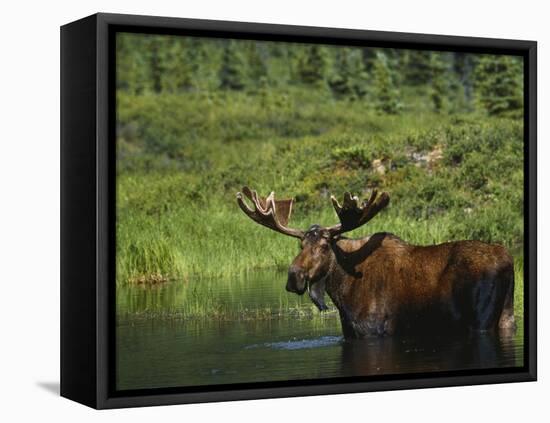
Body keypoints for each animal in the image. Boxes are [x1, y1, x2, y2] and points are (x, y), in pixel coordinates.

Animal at [237, 187, 516, 340]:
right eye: (300, 245)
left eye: (325, 246)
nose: (293, 277)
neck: (342, 292)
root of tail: (508, 260)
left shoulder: (373, 330)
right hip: (506, 315)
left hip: (481, 319)